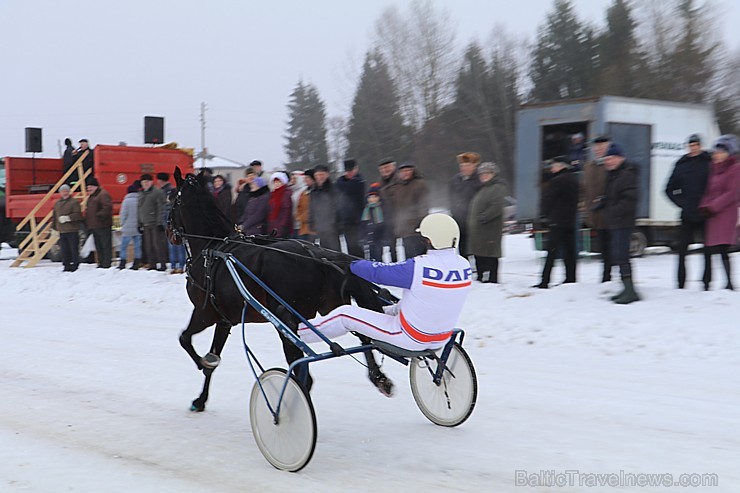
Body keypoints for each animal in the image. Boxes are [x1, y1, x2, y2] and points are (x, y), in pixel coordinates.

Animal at [171, 169, 396, 412]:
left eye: (171, 198)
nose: (169, 233)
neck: (212, 247)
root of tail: (319, 256)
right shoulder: (224, 320)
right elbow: (211, 356)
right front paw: (201, 398)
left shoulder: (204, 313)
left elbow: (184, 339)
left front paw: (201, 364)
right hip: (330, 306)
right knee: (361, 335)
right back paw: (379, 378)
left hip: (285, 319)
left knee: (302, 372)